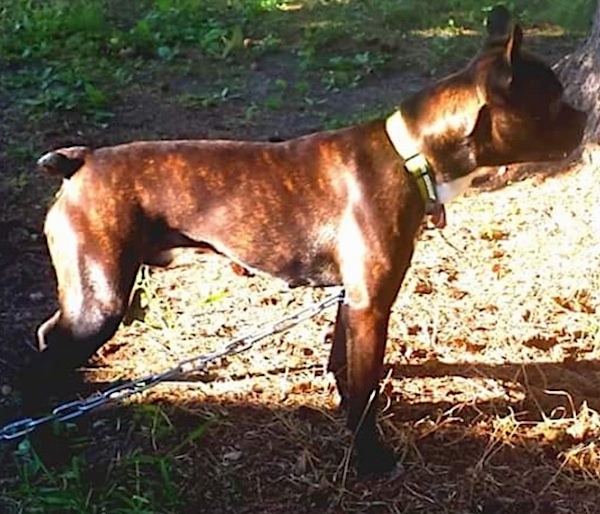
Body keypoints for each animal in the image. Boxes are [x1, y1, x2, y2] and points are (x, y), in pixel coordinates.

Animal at [25, 6, 584, 474]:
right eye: (555, 102)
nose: (582, 117)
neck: (411, 155)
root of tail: (82, 162)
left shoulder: (351, 301)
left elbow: (344, 365)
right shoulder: (371, 305)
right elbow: (364, 386)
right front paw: (370, 456)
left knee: (48, 337)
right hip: (100, 300)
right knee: (47, 355)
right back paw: (46, 444)